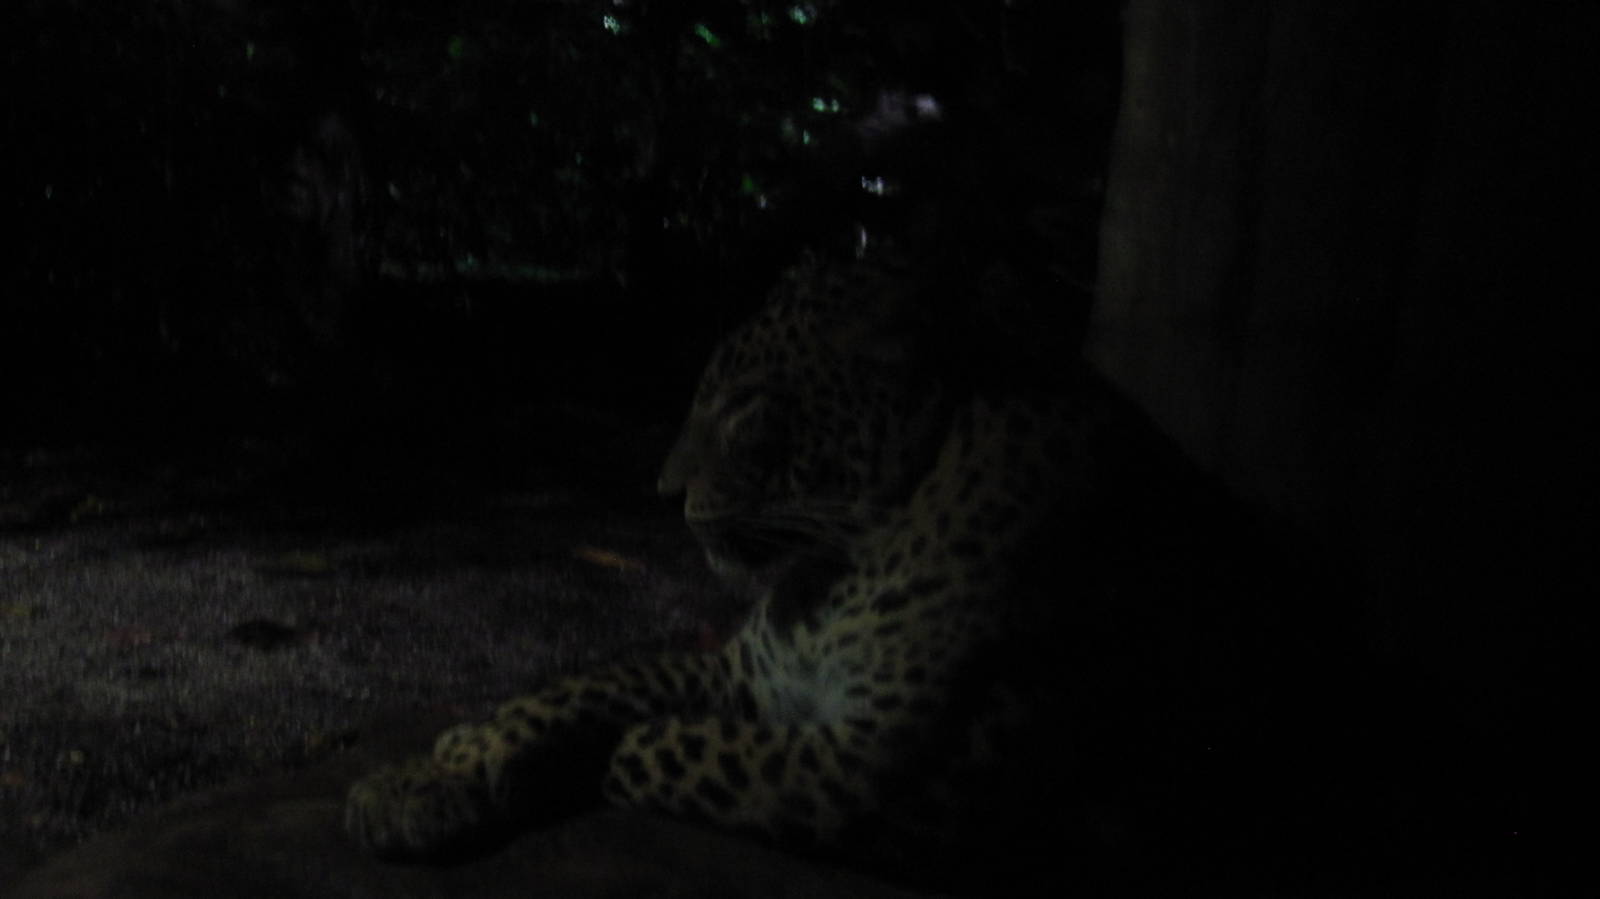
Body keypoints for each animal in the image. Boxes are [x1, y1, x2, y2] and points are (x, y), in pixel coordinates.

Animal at [343, 245, 1101, 867]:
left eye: (745, 407)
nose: (665, 489)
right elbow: (580, 688)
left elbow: (663, 746)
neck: (843, 568)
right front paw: (437, 772)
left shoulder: (879, 766)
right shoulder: (744, 673)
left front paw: (539, 764)